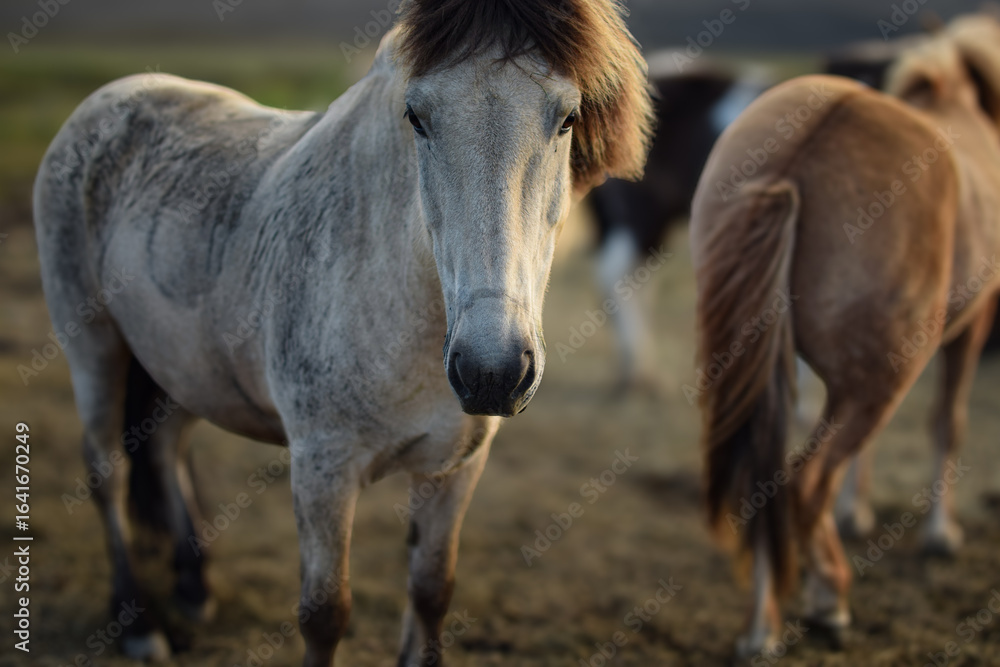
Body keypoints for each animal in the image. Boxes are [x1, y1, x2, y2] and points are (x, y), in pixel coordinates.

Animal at [32, 1, 653, 664]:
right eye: (417, 116)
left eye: (567, 118)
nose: (492, 372)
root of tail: (114, 95)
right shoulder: (322, 471)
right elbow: (325, 613)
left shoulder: (454, 470)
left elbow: (432, 593)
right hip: (95, 349)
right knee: (107, 472)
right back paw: (138, 624)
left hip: (182, 365)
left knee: (166, 448)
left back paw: (195, 591)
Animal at [689, 18, 1000, 659]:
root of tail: (798, 152)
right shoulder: (973, 326)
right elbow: (948, 425)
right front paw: (941, 534)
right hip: (883, 377)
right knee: (806, 485)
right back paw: (828, 600)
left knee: (768, 478)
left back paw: (762, 629)